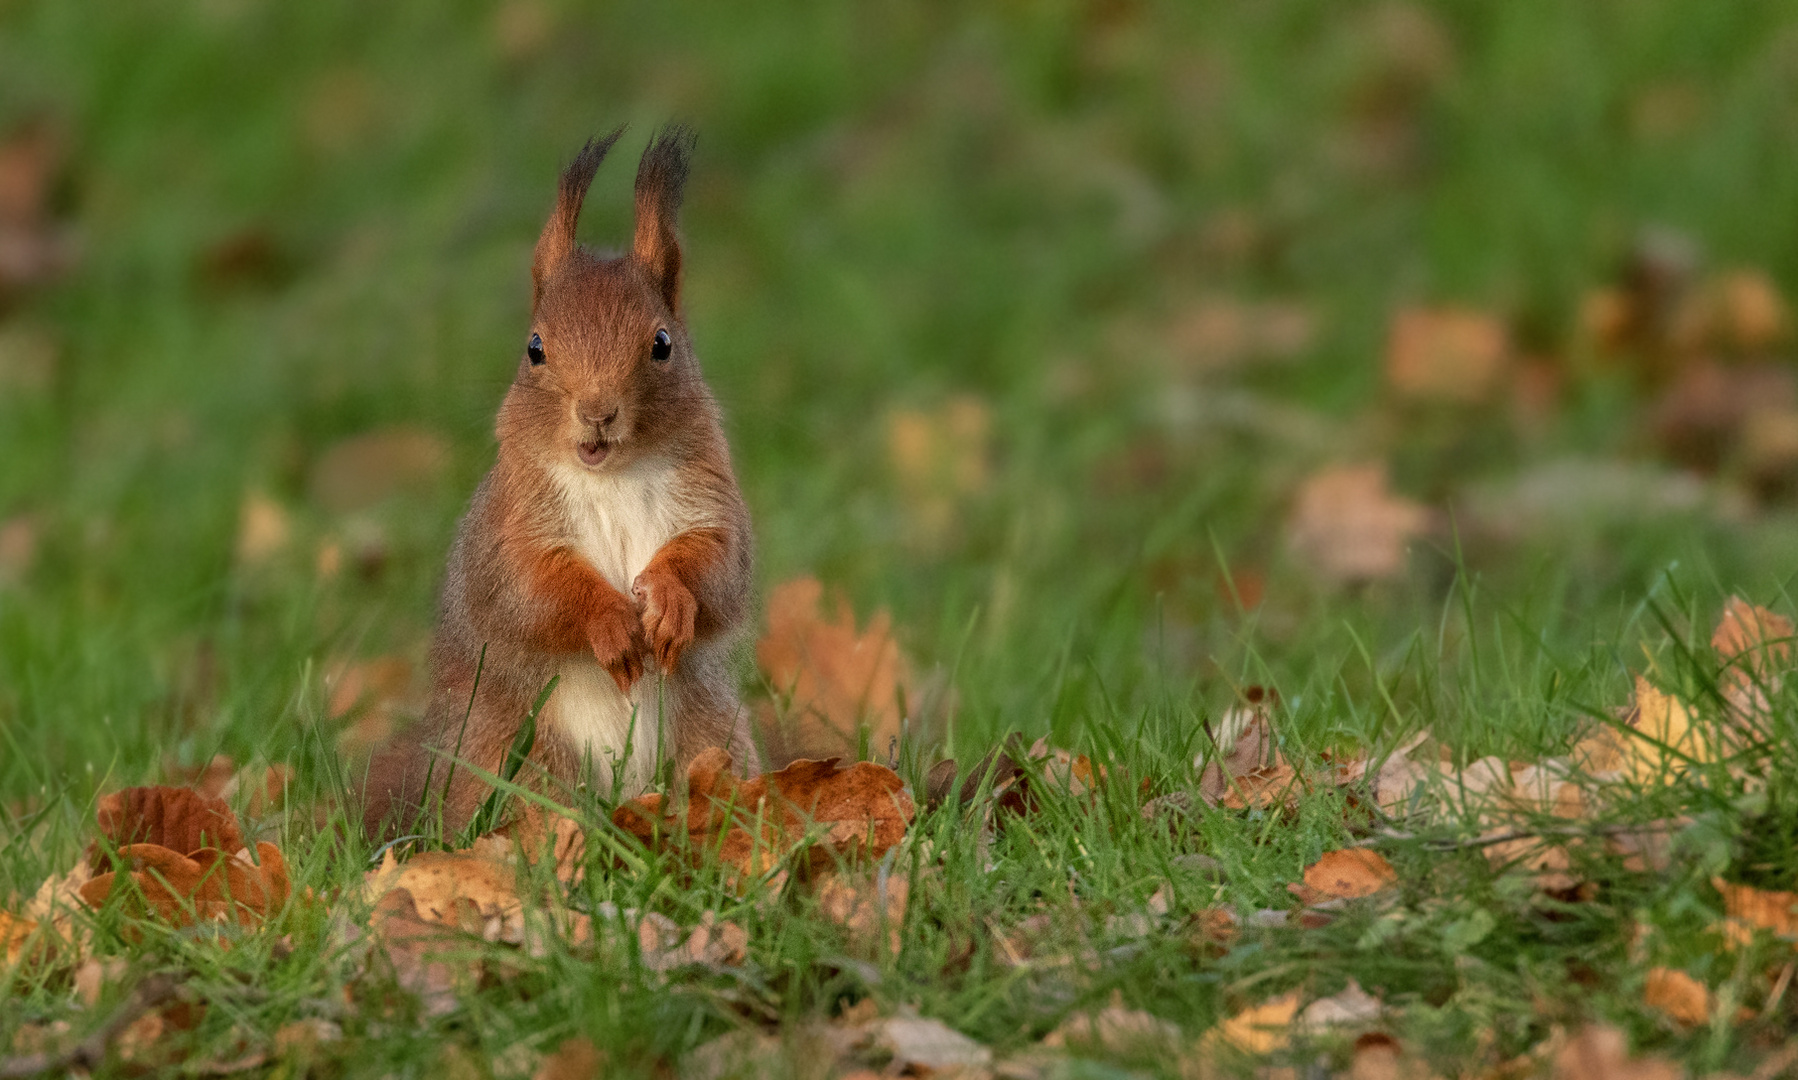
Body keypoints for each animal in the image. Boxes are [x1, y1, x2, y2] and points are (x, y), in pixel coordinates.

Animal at [364, 126, 758, 833]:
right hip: (519, 761)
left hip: (712, 736)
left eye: (662, 343)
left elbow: (718, 572)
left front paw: (668, 599)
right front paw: (609, 621)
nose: (597, 412)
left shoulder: (712, 506)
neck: (612, 476)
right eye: (535, 348)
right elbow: (533, 590)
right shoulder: (511, 528)